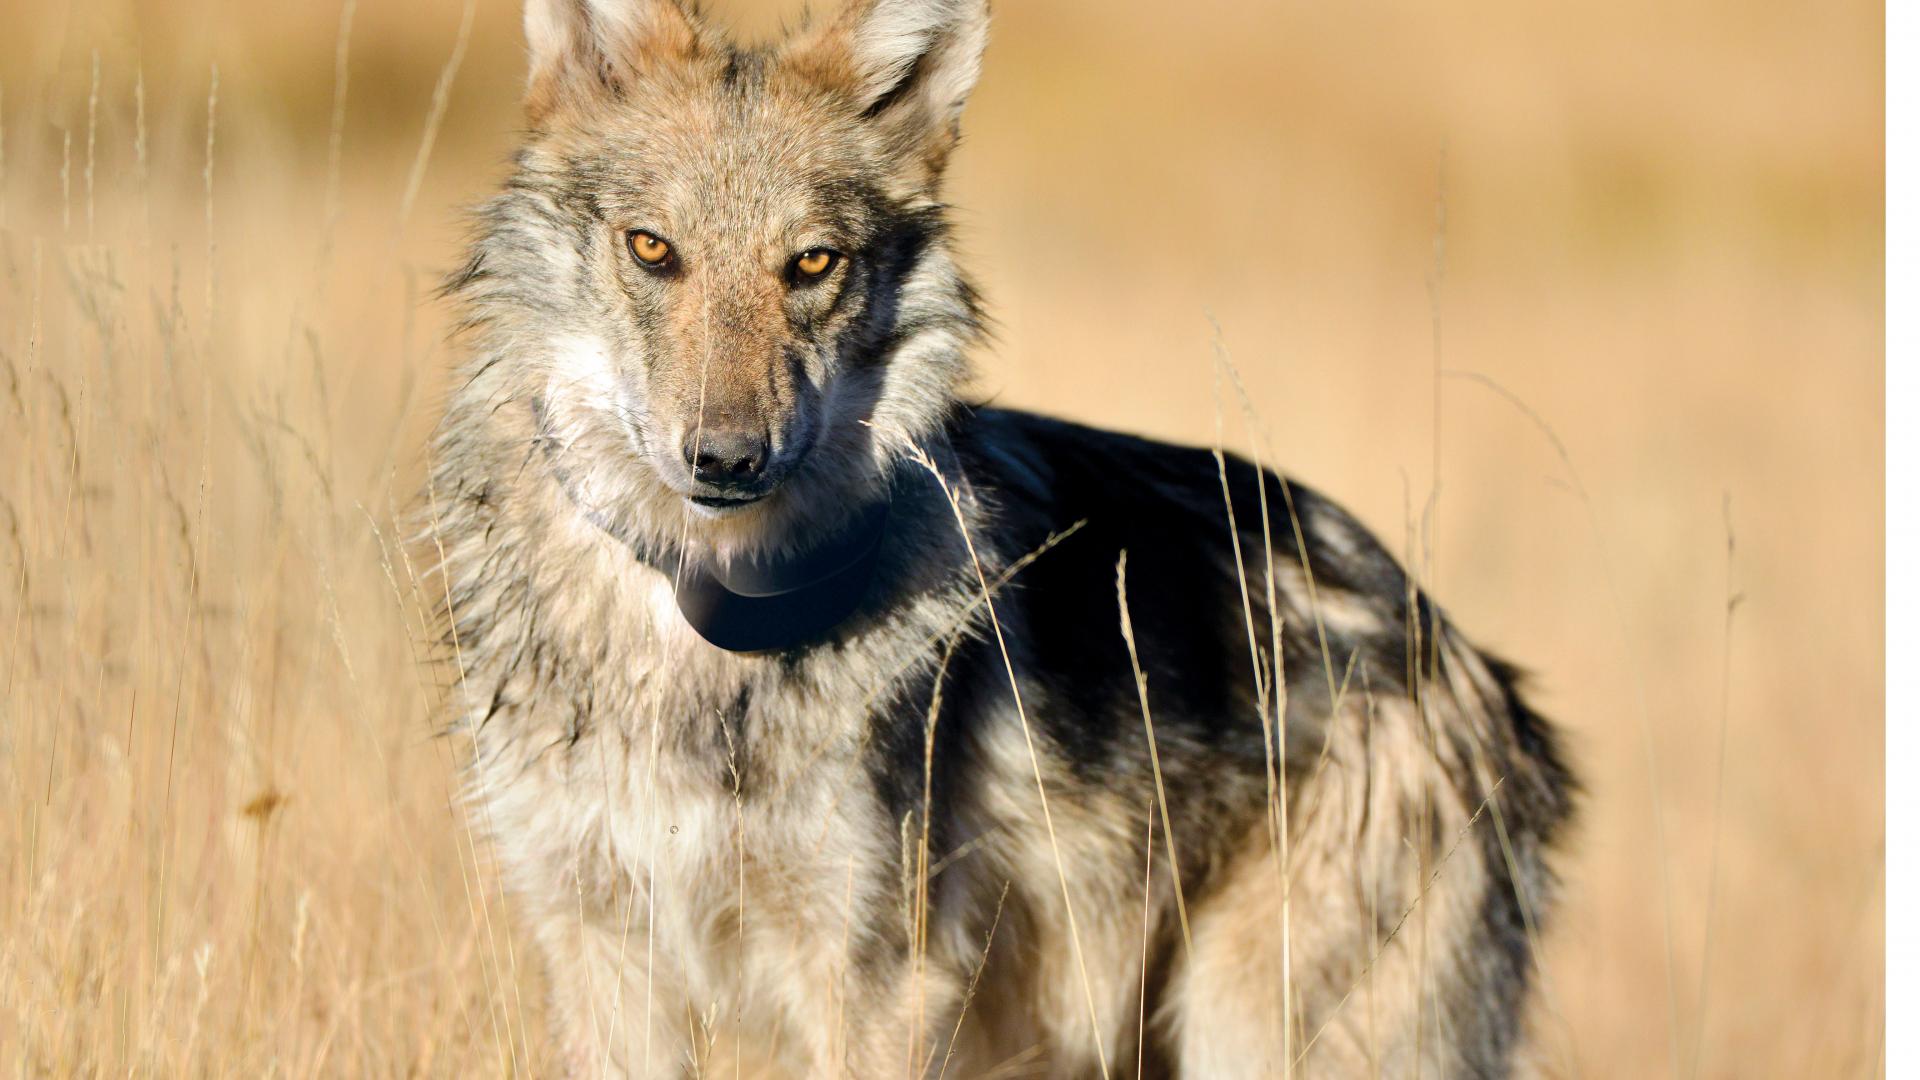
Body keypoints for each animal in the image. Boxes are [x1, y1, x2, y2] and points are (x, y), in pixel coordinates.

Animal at [428, 0, 1582, 1068]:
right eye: (652, 249)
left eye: (813, 264)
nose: (727, 460)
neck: (700, 641)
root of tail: (1475, 673)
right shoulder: (598, 949)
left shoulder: (879, 976)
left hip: (1255, 1031)